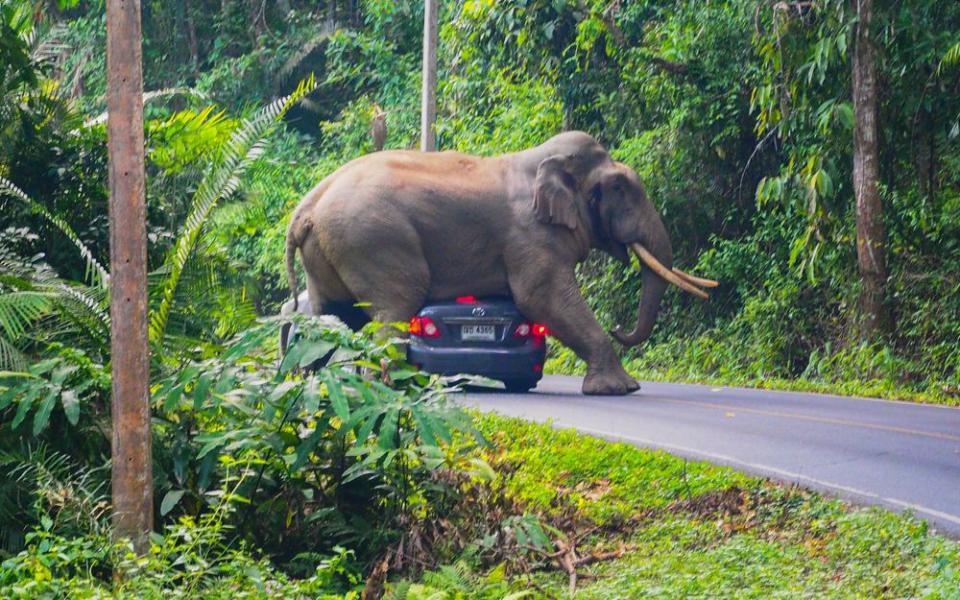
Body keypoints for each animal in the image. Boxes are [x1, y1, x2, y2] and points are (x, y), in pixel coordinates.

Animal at [284, 131, 712, 394]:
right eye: (621, 188)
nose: (620, 328)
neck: (542, 159)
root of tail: (305, 208)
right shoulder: (530, 235)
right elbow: (542, 298)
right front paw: (621, 389)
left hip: (330, 252)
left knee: (333, 315)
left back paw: (316, 385)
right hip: (374, 241)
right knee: (395, 306)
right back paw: (389, 387)